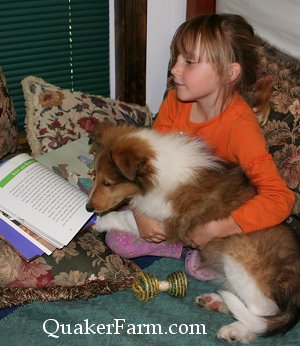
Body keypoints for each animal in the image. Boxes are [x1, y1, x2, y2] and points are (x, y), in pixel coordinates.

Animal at [86, 122, 300, 344]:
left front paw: (99, 223)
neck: (159, 170)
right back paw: (213, 301)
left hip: (239, 257)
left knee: (263, 311)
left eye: (108, 183)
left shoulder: (166, 223)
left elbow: (126, 217)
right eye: (96, 175)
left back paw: (234, 329)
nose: (88, 208)